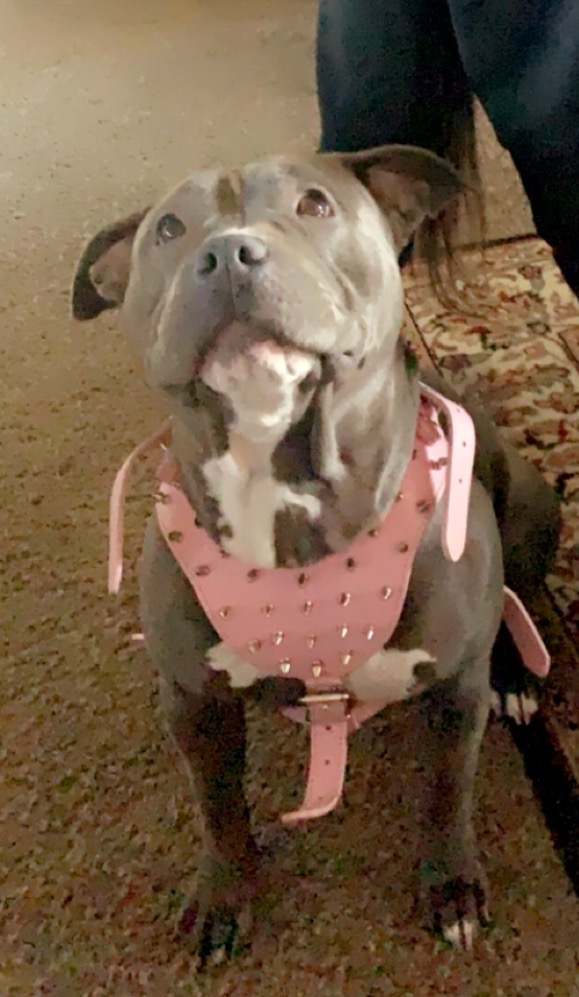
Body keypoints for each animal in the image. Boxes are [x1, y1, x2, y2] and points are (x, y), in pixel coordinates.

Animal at [71, 145, 560, 959]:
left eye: (314, 204)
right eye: (168, 229)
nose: (226, 251)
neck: (286, 490)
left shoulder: (453, 690)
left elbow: (446, 791)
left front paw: (451, 886)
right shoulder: (194, 701)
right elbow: (217, 804)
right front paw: (223, 896)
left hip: (529, 508)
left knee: (516, 609)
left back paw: (518, 677)